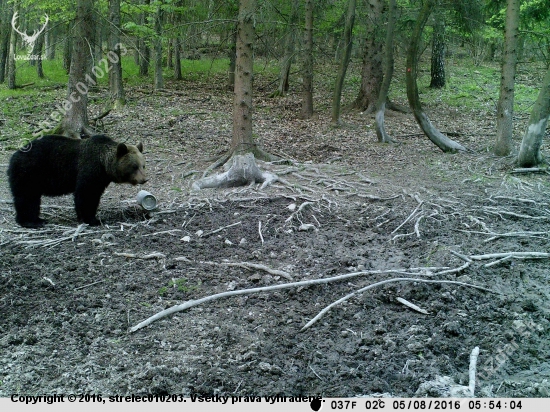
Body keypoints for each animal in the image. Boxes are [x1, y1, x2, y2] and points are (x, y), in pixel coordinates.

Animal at [8, 135, 149, 227]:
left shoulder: (100, 179)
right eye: (134, 166)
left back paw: (38, 219)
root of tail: (14, 156)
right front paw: (92, 219)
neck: (104, 165)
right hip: (29, 173)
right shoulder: (89, 169)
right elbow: (86, 195)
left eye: (143, 165)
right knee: (27, 197)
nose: (144, 179)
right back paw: (30, 221)